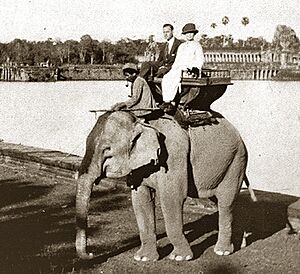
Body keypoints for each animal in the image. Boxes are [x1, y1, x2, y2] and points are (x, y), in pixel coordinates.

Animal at [75, 110, 253, 262]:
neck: (141, 121)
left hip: (236, 161)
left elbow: (171, 199)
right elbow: (141, 199)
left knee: (225, 201)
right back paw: (242, 242)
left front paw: (180, 257)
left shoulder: (173, 157)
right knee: (222, 201)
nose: (91, 254)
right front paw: (143, 258)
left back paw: (223, 251)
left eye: (107, 150)